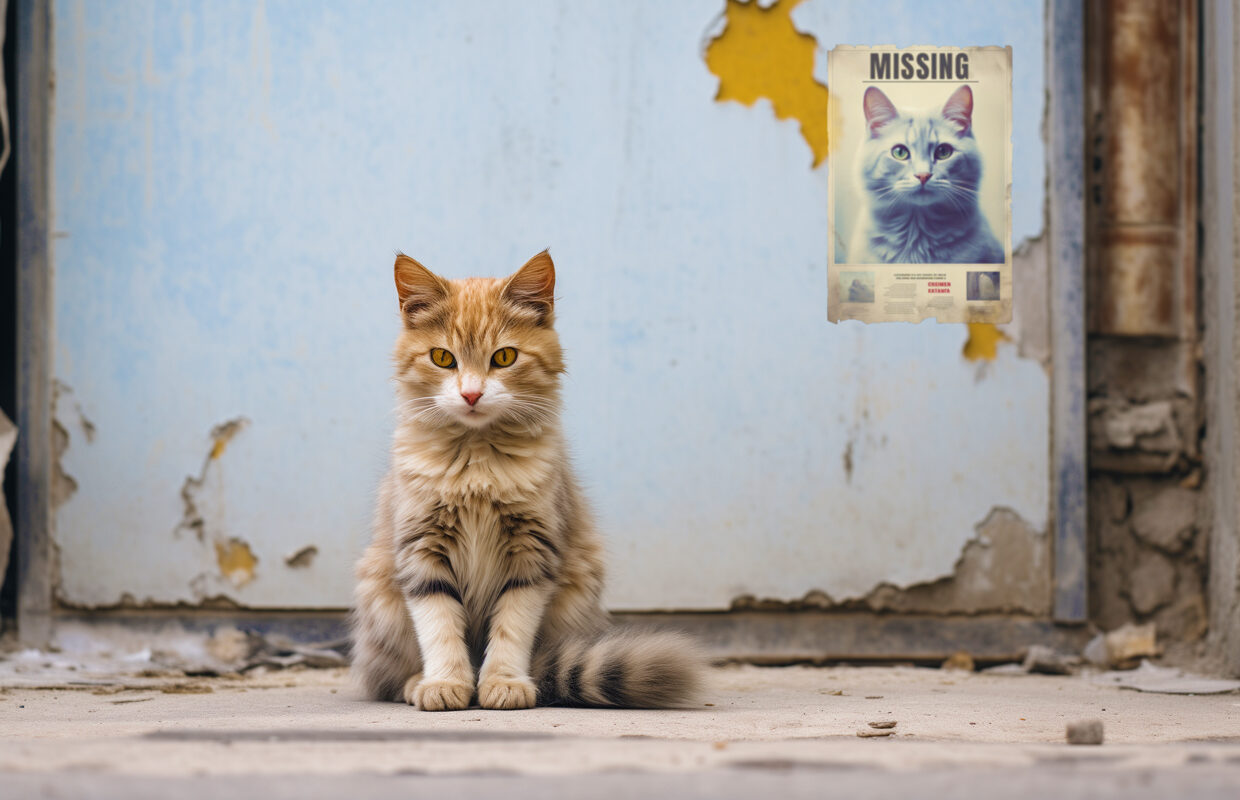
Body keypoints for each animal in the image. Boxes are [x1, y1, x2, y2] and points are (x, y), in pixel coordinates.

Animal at [349, 251, 704, 709]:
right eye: (443, 358)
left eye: (504, 358)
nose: (471, 395)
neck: (477, 462)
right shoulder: (421, 549)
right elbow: (440, 628)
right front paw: (446, 682)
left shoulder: (532, 555)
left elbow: (511, 630)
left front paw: (503, 682)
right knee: (390, 677)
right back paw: (416, 683)